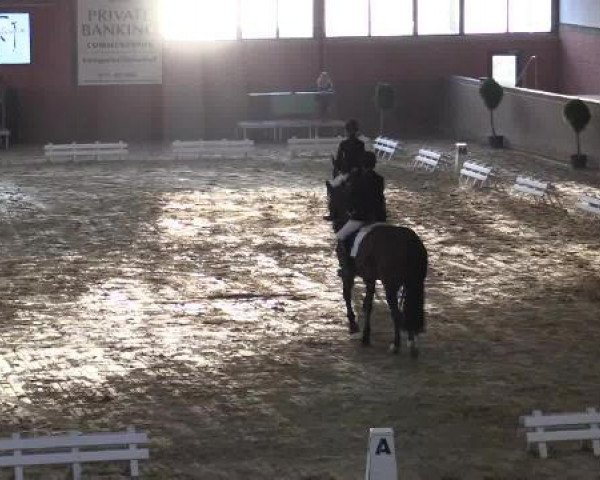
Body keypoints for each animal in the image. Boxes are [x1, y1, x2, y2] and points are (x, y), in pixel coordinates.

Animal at [328, 180, 426, 356]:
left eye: (330, 200)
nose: (331, 218)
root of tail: (411, 243)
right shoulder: (370, 278)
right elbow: (368, 304)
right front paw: (365, 336)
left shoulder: (349, 273)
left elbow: (347, 296)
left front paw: (354, 326)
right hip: (414, 283)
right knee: (410, 310)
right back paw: (412, 344)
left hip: (391, 285)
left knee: (396, 313)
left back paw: (396, 345)